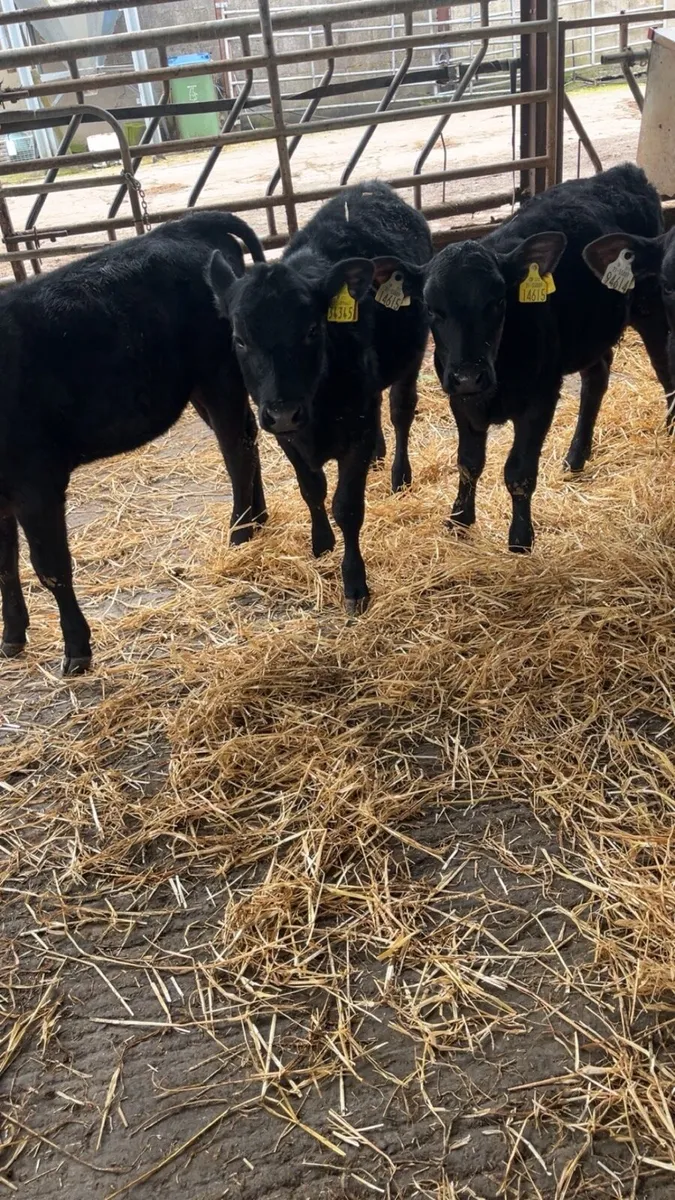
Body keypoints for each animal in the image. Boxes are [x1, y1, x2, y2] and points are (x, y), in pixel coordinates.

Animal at [0, 211, 266, 674]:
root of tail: (186, 225)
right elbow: (4, 568)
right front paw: (12, 637)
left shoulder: (36, 482)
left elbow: (49, 566)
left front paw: (76, 649)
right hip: (200, 386)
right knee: (245, 439)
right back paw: (258, 518)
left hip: (218, 373)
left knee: (238, 448)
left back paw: (240, 530)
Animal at [206, 181, 432, 613]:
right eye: (239, 339)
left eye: (312, 329)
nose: (283, 411)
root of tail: (371, 188)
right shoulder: (287, 436)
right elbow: (311, 488)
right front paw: (321, 543)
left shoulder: (355, 430)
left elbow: (347, 506)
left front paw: (355, 583)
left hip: (410, 360)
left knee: (400, 411)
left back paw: (399, 474)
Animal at [421, 164, 672, 552]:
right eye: (432, 309)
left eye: (498, 301)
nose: (468, 375)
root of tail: (623, 172)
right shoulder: (460, 399)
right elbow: (468, 461)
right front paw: (459, 519)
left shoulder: (540, 397)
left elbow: (519, 471)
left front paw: (520, 539)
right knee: (597, 377)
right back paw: (576, 456)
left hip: (651, 307)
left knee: (663, 366)